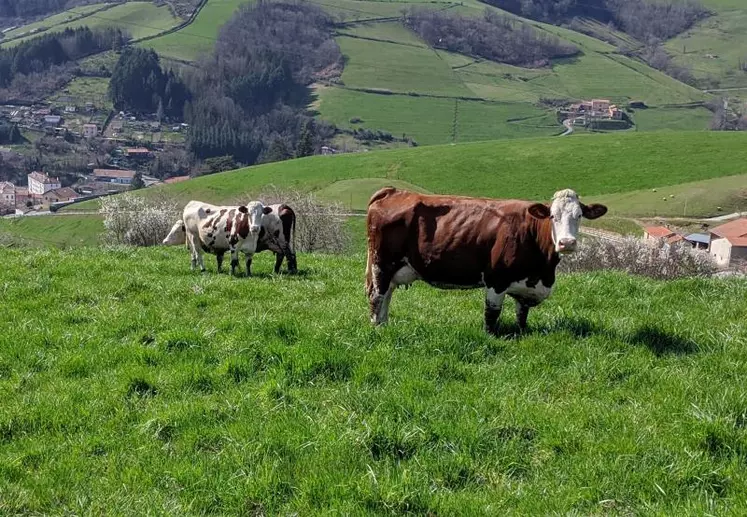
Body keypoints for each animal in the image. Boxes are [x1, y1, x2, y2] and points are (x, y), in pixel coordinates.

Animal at [366, 187, 608, 332]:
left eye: (579, 216)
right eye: (552, 216)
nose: (567, 243)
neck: (542, 272)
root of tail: (394, 191)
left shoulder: (526, 287)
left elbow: (522, 316)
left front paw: (521, 333)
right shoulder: (496, 279)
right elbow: (491, 315)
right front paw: (490, 336)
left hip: (395, 269)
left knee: (387, 295)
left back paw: (385, 325)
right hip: (382, 264)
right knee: (377, 296)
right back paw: (377, 328)